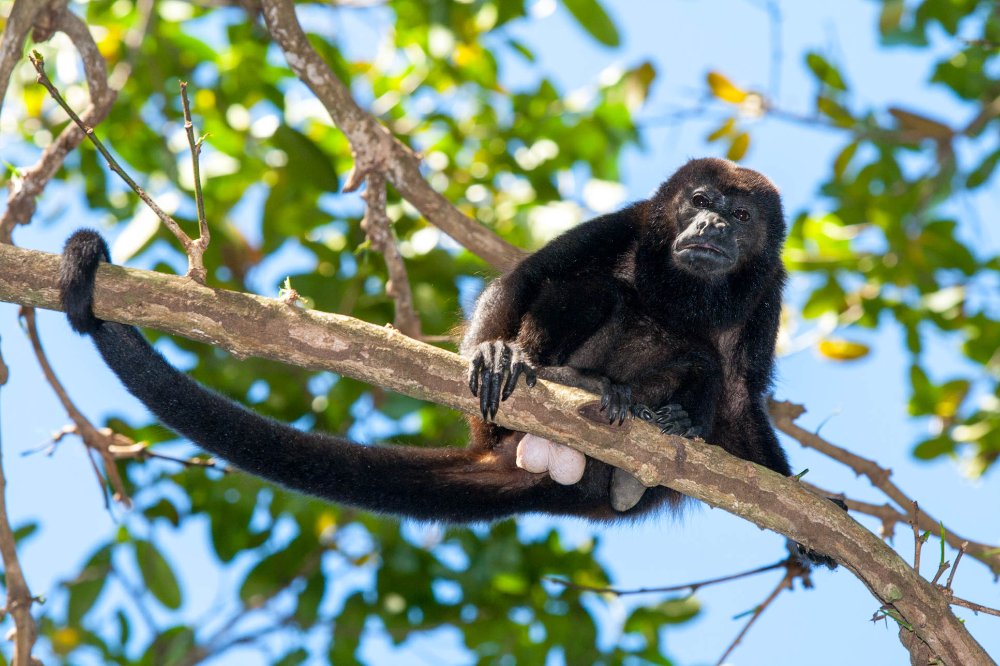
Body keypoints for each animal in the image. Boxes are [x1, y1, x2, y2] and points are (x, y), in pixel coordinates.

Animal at [60, 157, 836, 564]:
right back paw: (566, 381)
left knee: (703, 366)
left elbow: (740, 393)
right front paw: (493, 351)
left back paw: (656, 424)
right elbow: (526, 276)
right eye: (699, 200)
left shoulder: (770, 287)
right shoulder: (635, 220)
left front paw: (809, 516)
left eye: (739, 218)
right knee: (590, 288)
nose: (708, 225)